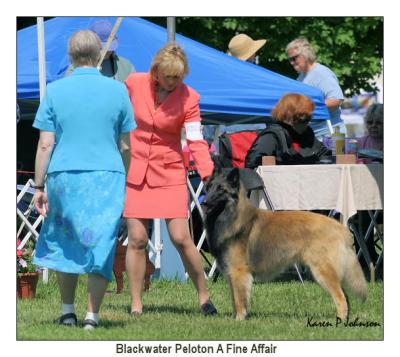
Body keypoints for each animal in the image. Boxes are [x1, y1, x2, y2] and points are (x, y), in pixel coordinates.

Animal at [205, 164, 368, 320]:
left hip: (323, 271)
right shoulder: (231, 274)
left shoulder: (239, 272)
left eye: (221, 189)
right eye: (209, 187)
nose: (205, 203)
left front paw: (239, 320)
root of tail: (341, 228)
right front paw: (235, 318)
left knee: (340, 297)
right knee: (345, 296)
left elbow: (239, 300)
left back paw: (340, 320)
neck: (232, 217)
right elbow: (234, 299)